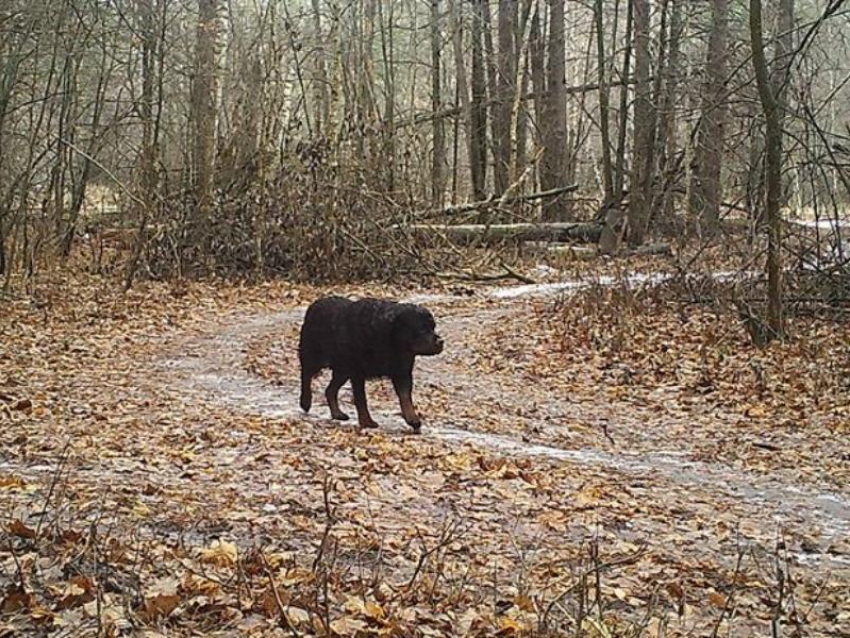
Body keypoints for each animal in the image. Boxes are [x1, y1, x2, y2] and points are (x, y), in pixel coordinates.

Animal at [298, 298, 444, 432]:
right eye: (422, 330)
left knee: (330, 390)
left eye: (433, 327)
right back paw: (305, 401)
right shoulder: (357, 372)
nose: (441, 341)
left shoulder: (401, 372)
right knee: (306, 375)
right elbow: (361, 398)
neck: (390, 339)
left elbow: (405, 397)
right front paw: (366, 421)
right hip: (315, 356)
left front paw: (412, 419)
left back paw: (337, 413)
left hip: (342, 370)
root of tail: (314, 305)